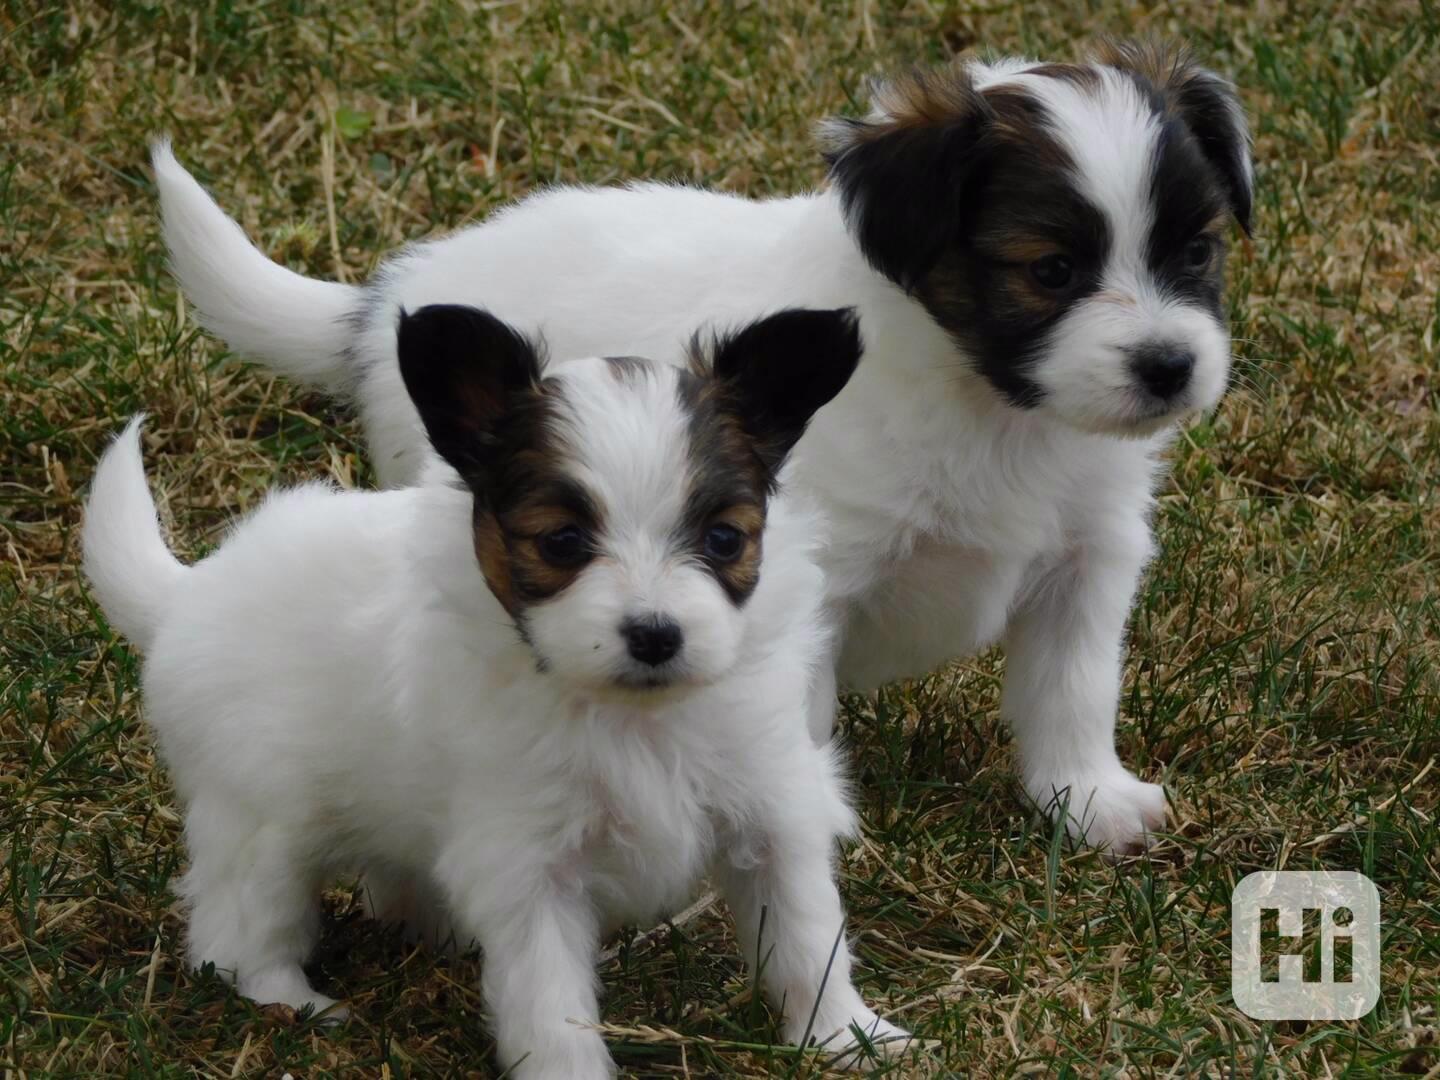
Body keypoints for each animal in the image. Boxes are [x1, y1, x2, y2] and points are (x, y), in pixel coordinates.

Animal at [81, 306, 910, 1080]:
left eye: (724, 539)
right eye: (563, 543)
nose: (655, 634)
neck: (630, 716)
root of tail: (187, 595)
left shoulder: (773, 810)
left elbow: (805, 938)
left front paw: (847, 1038)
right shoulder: (529, 866)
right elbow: (551, 1005)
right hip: (261, 820)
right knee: (239, 927)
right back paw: (291, 1000)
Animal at [149, 40, 1249, 852]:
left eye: (1197, 252)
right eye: (1051, 269)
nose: (1171, 366)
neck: (990, 405)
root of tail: (389, 300)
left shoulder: (1087, 555)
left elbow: (1074, 687)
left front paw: (1088, 801)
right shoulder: (813, 575)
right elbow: (799, 713)